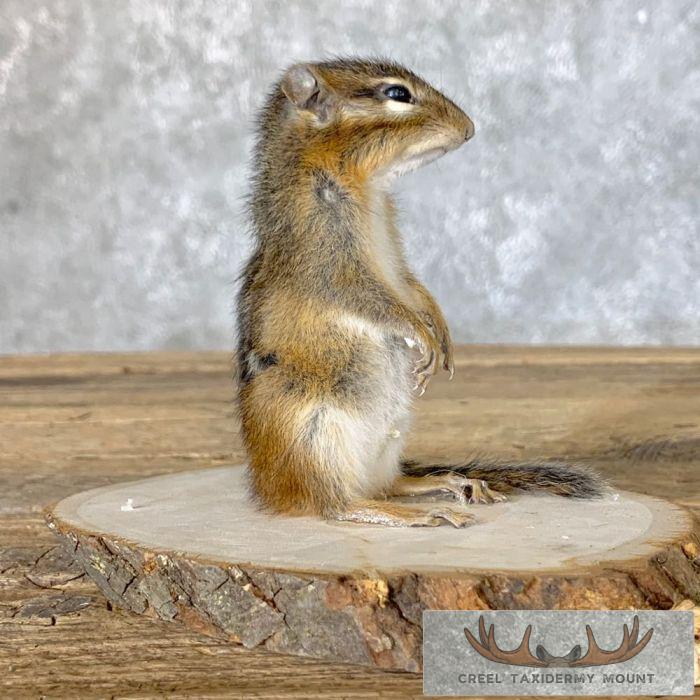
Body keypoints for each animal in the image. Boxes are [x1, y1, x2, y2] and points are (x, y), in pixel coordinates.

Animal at [235, 57, 606, 527]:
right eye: (397, 94)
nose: (469, 128)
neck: (365, 189)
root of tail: (271, 491)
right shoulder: (329, 260)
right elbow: (373, 300)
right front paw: (422, 334)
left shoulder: (396, 256)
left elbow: (411, 285)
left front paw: (441, 329)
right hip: (316, 440)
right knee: (338, 506)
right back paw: (415, 514)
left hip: (388, 441)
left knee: (390, 484)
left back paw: (451, 483)